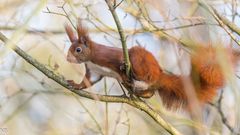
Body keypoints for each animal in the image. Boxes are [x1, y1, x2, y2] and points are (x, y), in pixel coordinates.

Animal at [64, 21, 239, 108]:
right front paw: (74, 84)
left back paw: (130, 78)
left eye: (78, 49)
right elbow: (87, 82)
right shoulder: (94, 71)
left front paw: (122, 70)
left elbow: (117, 64)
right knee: (151, 92)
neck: (90, 58)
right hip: (150, 84)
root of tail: (160, 75)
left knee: (140, 74)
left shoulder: (106, 57)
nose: (67, 58)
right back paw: (138, 91)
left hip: (140, 60)